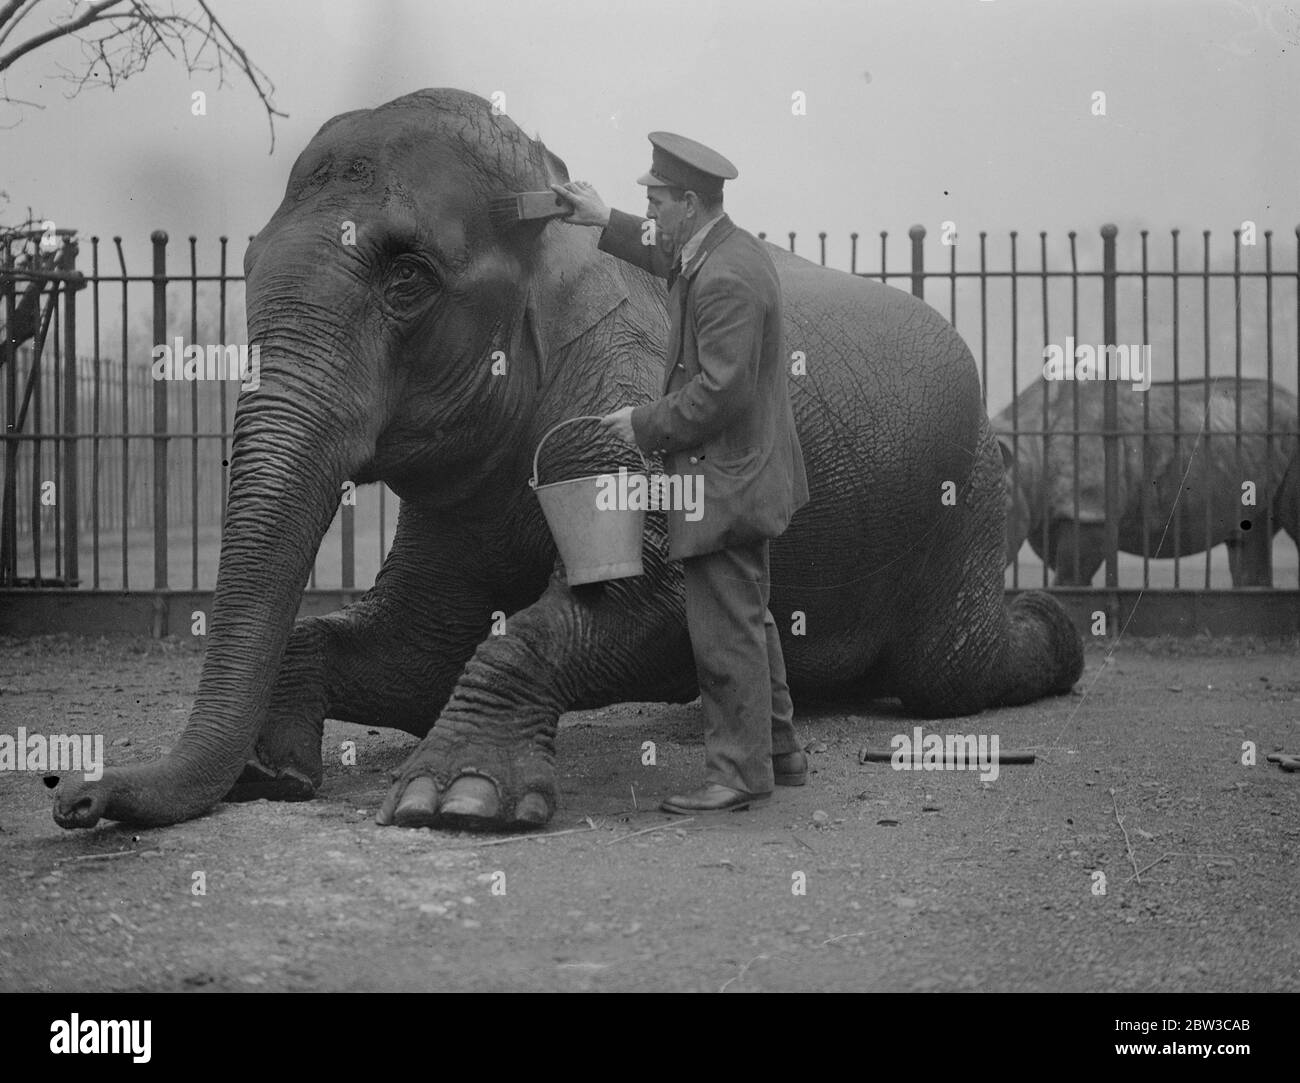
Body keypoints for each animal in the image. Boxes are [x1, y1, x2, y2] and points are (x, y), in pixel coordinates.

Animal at [53, 88, 1086, 832]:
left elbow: (652, 604)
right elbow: (419, 647)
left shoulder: (622, 383)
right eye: (247, 263)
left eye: (408, 279)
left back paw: (1056, 634)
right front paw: (273, 774)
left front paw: (453, 803)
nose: (75, 795)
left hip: (965, 497)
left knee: (951, 668)